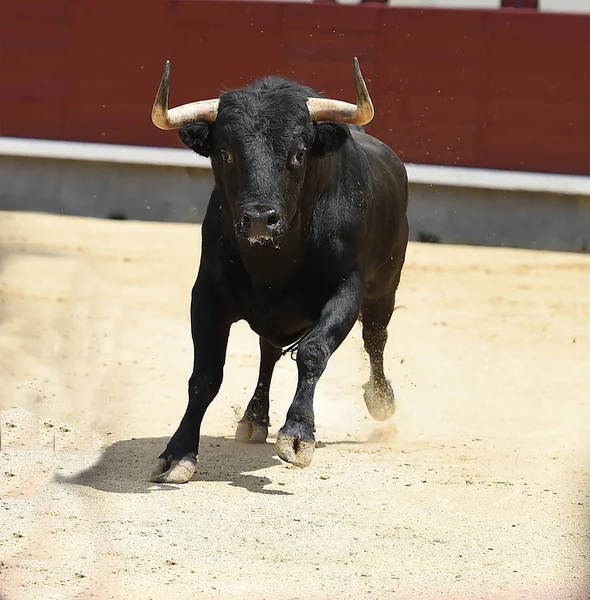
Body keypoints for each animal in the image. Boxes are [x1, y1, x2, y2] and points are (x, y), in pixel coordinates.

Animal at [150, 59, 410, 482]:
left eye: (299, 153)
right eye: (224, 153)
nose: (259, 219)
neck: (274, 260)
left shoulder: (346, 289)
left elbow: (313, 352)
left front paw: (299, 434)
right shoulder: (207, 293)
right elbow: (204, 375)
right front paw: (178, 453)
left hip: (384, 285)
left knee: (375, 337)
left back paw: (381, 399)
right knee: (268, 353)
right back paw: (255, 417)